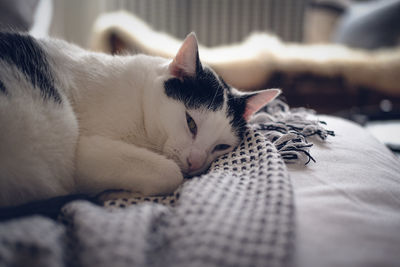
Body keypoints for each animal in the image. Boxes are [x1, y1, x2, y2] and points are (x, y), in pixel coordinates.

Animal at [0, 31, 282, 207]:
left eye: (221, 147)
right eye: (190, 123)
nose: (195, 163)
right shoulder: (86, 151)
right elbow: (170, 174)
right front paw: (114, 192)